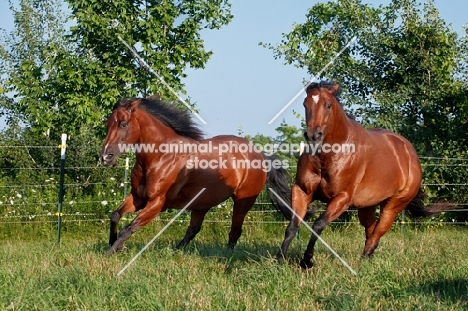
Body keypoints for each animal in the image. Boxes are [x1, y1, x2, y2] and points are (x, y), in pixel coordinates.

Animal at [278, 81, 454, 270]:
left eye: (328, 105)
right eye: (306, 104)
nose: (313, 136)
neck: (328, 156)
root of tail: (411, 154)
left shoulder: (342, 198)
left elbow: (318, 225)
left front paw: (307, 261)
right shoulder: (302, 191)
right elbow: (292, 226)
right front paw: (280, 259)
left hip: (393, 205)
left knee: (377, 233)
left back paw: (363, 262)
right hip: (367, 206)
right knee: (371, 230)